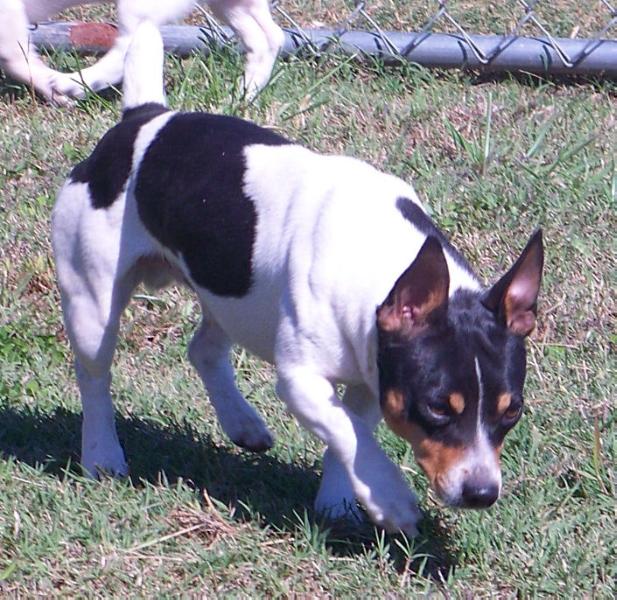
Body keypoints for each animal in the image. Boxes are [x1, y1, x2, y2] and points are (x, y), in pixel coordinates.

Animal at [0, 0, 282, 104]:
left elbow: (15, 59)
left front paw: (53, 91)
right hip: (232, 4)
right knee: (269, 38)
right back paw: (242, 94)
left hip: (139, 9)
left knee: (125, 49)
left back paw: (75, 82)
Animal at [54, 23, 544, 536]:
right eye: (437, 407)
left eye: (512, 411)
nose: (482, 493)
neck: (381, 261)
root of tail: (144, 118)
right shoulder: (301, 380)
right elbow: (348, 431)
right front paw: (389, 498)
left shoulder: (374, 372)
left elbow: (350, 433)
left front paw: (340, 501)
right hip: (92, 305)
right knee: (94, 376)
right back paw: (102, 455)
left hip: (234, 297)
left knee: (203, 348)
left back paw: (242, 423)